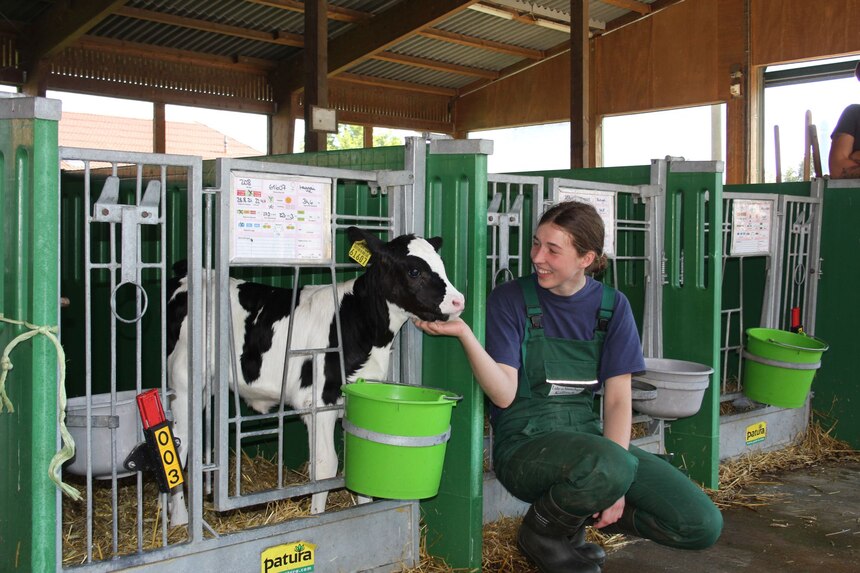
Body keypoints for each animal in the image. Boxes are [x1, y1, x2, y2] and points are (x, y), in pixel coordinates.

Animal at [165, 226, 466, 524]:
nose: (458, 300)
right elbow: (324, 466)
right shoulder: (318, 402)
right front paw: (316, 517)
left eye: (441, 263)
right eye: (414, 271)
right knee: (178, 446)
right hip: (183, 382)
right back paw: (179, 520)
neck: (362, 327)